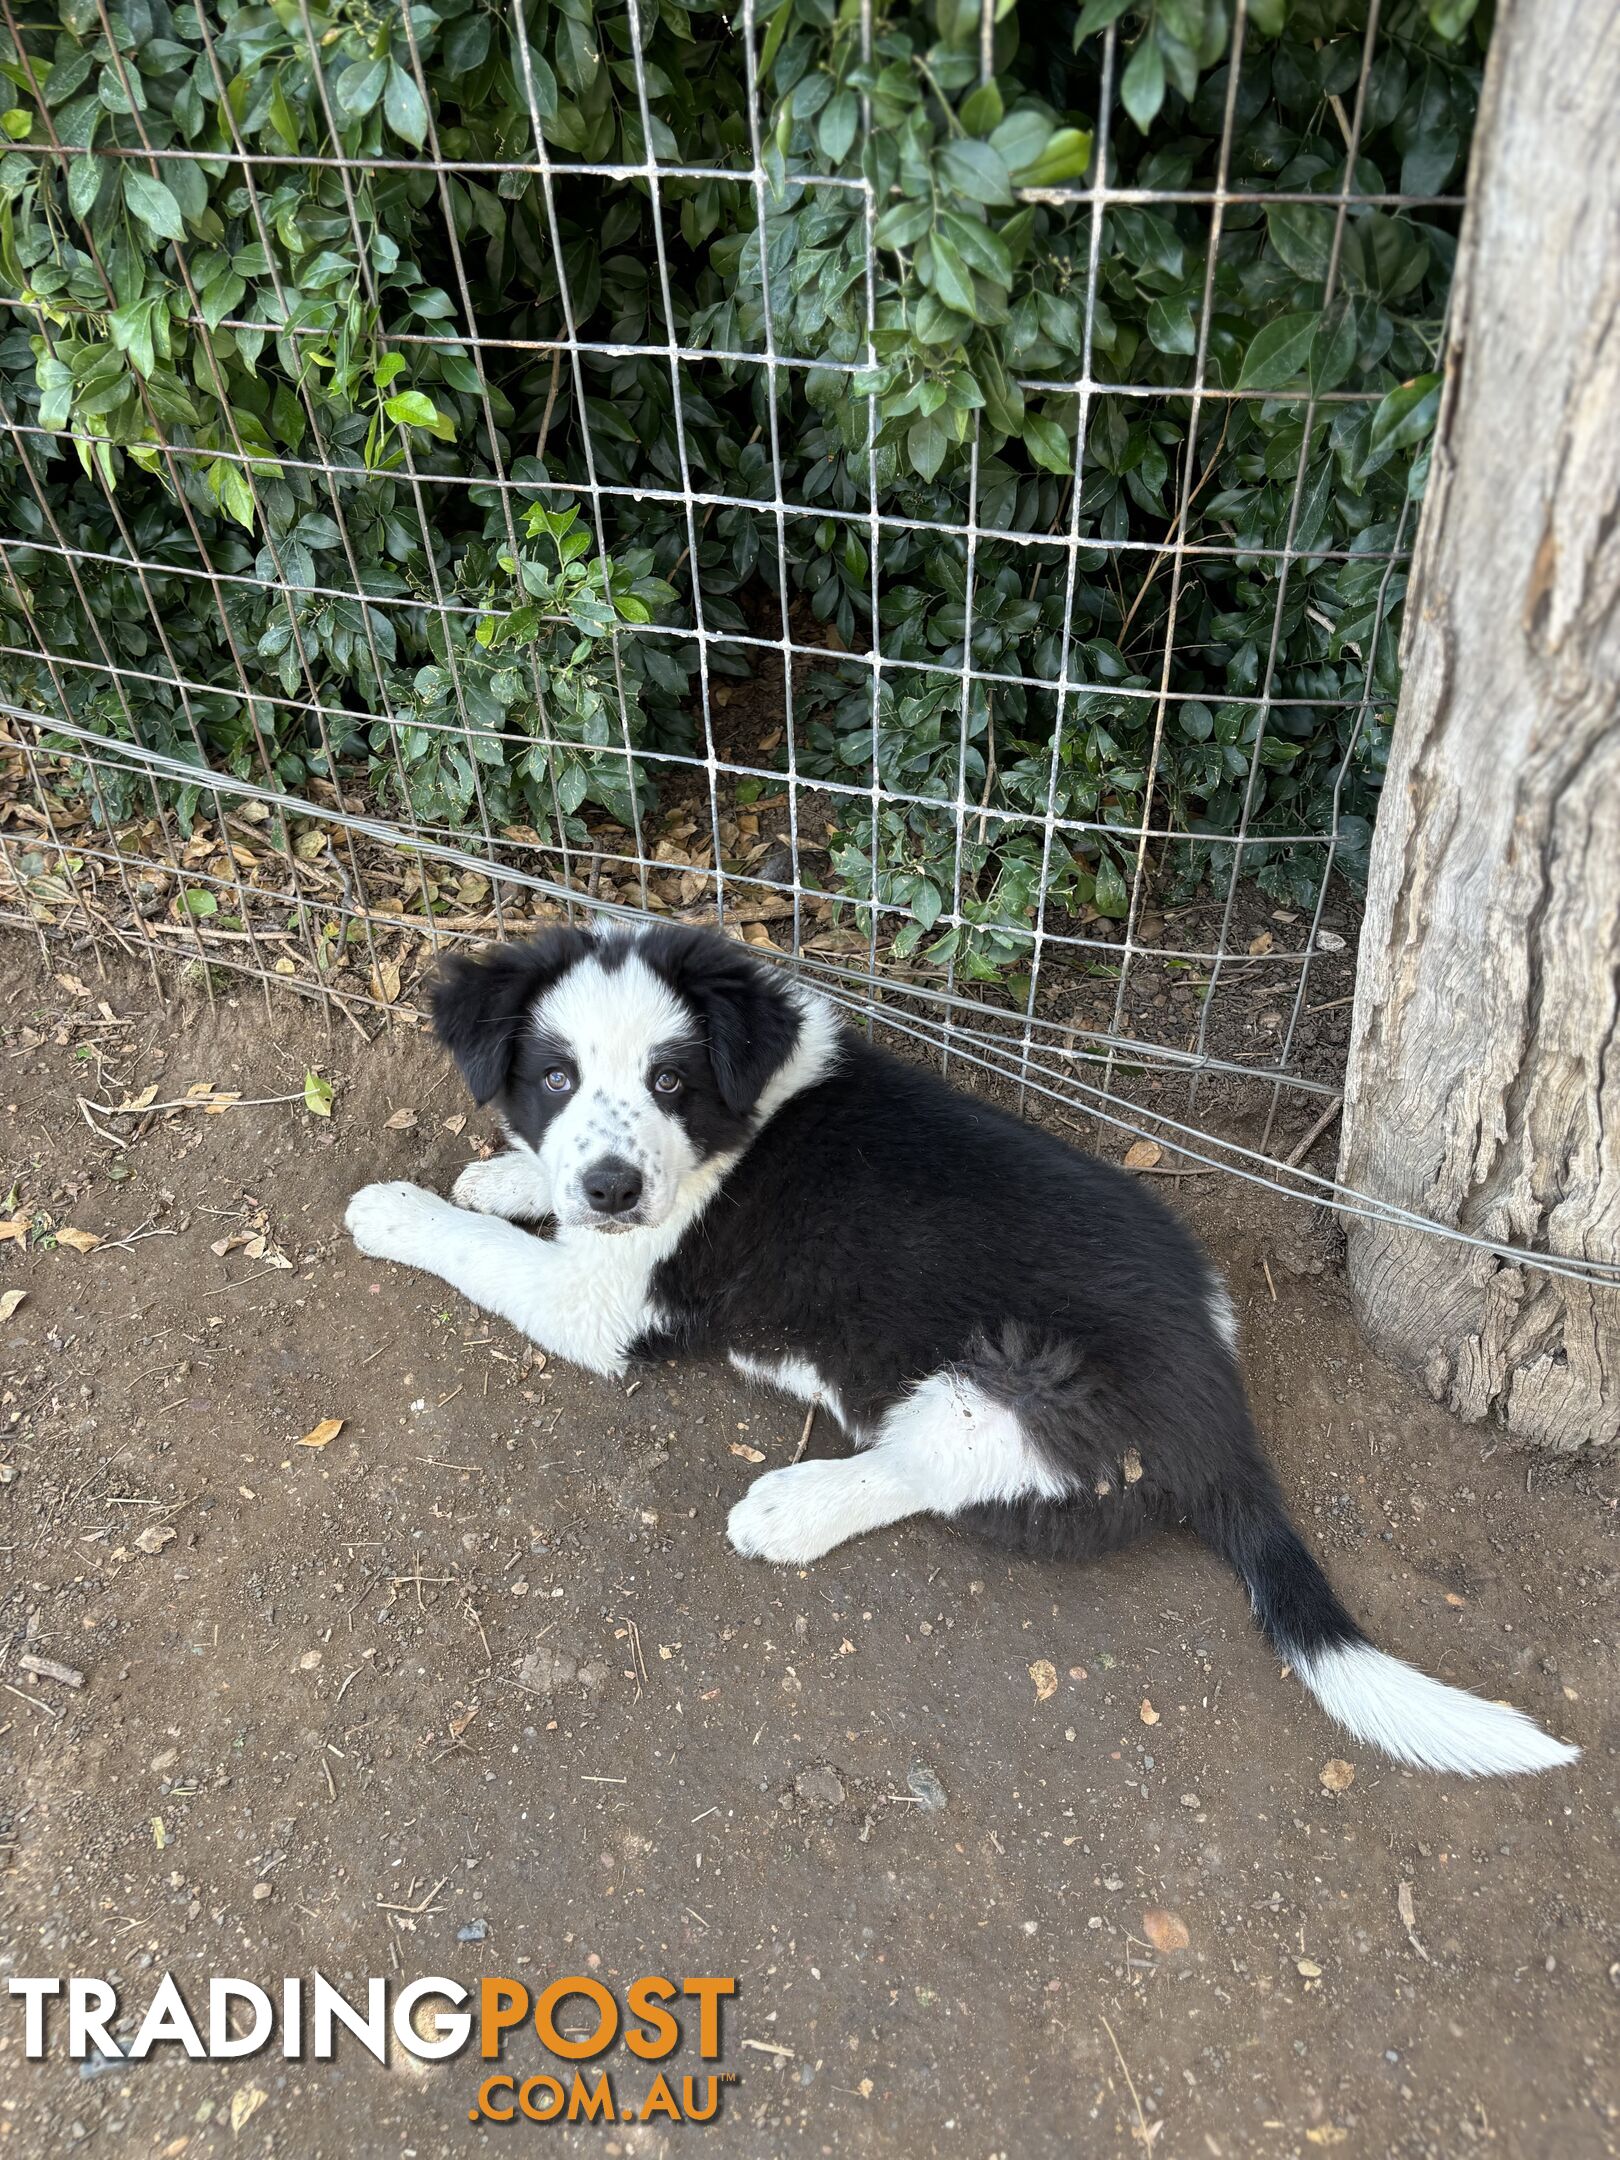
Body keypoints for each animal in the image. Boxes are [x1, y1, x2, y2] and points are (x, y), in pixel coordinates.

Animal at [349, 920, 1581, 1779]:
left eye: (669, 1080)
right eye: (554, 1077)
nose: (609, 1188)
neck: (736, 1121)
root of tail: (1222, 1420)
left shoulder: (603, 1302)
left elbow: (485, 1255)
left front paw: (399, 1211)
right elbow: (519, 1198)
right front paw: (504, 1173)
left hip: (1015, 1388)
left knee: (921, 1468)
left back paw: (792, 1507)